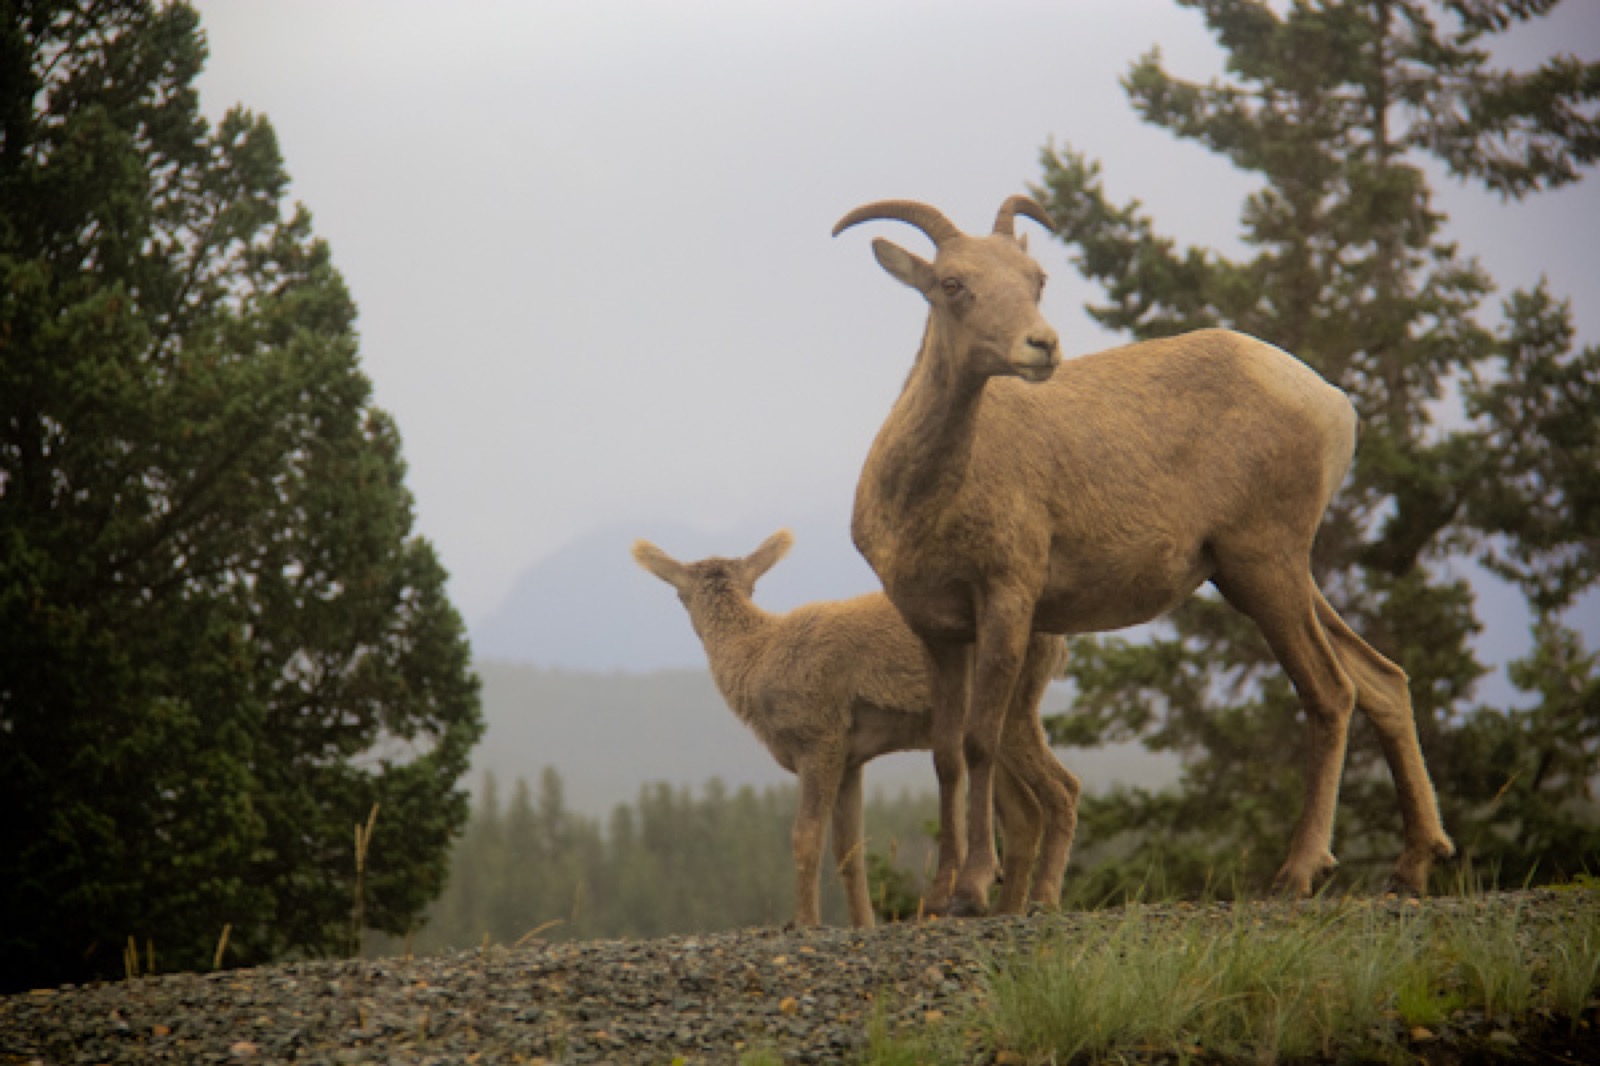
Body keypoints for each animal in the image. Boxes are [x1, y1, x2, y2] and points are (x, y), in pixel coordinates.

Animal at [630, 528, 1081, 921]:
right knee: (1024, 814)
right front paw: (863, 923)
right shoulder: (850, 759)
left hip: (1017, 701)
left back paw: (1042, 902)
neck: (757, 661)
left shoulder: (819, 737)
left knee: (1064, 787)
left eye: (678, 593)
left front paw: (805, 922)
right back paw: (1005, 909)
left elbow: (806, 837)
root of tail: (1058, 644)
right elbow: (850, 853)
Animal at [832, 196, 1459, 915]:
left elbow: (978, 740)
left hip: (1264, 564)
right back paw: (1411, 869)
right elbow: (944, 755)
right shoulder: (936, 630)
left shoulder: (1007, 601)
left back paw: (1296, 875)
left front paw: (971, 891)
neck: (924, 498)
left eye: (1035, 280)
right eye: (952, 283)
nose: (1040, 346)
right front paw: (937, 899)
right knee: (1384, 680)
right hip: (1267, 574)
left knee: (1331, 692)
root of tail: (1331, 403)